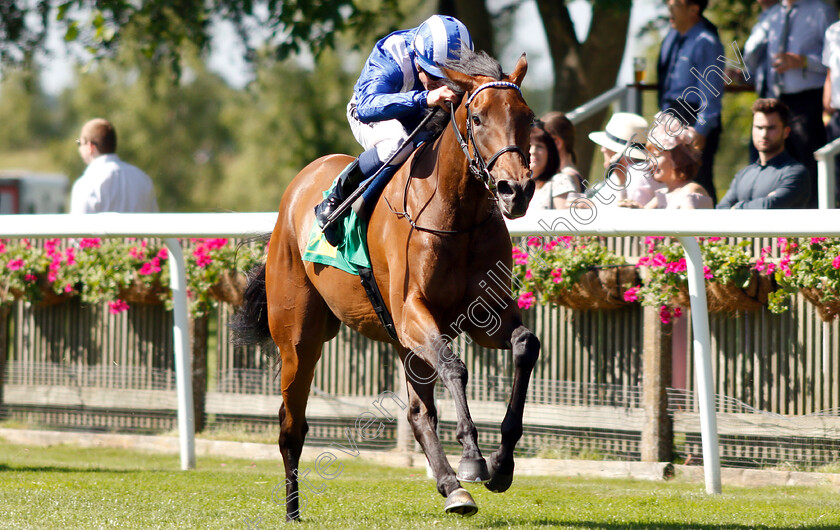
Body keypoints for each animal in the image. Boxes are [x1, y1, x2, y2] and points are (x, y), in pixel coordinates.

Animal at [233, 47, 540, 516]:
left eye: (527, 116)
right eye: (478, 117)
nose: (515, 190)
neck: (456, 214)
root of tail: (299, 186)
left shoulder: (484, 316)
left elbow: (525, 345)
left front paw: (502, 464)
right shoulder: (413, 311)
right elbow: (455, 366)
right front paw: (473, 458)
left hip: (399, 340)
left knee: (417, 413)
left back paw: (452, 488)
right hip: (299, 339)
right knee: (291, 426)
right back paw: (293, 509)